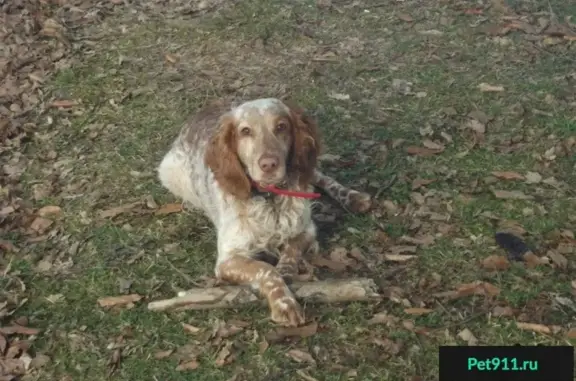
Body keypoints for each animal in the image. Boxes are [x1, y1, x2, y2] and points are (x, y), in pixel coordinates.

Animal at [158, 96, 372, 326]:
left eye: (281, 126)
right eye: (245, 131)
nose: (269, 164)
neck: (271, 200)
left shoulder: (306, 229)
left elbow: (290, 252)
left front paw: (286, 272)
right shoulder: (228, 259)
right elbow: (265, 269)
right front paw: (283, 302)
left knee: (318, 176)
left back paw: (353, 197)